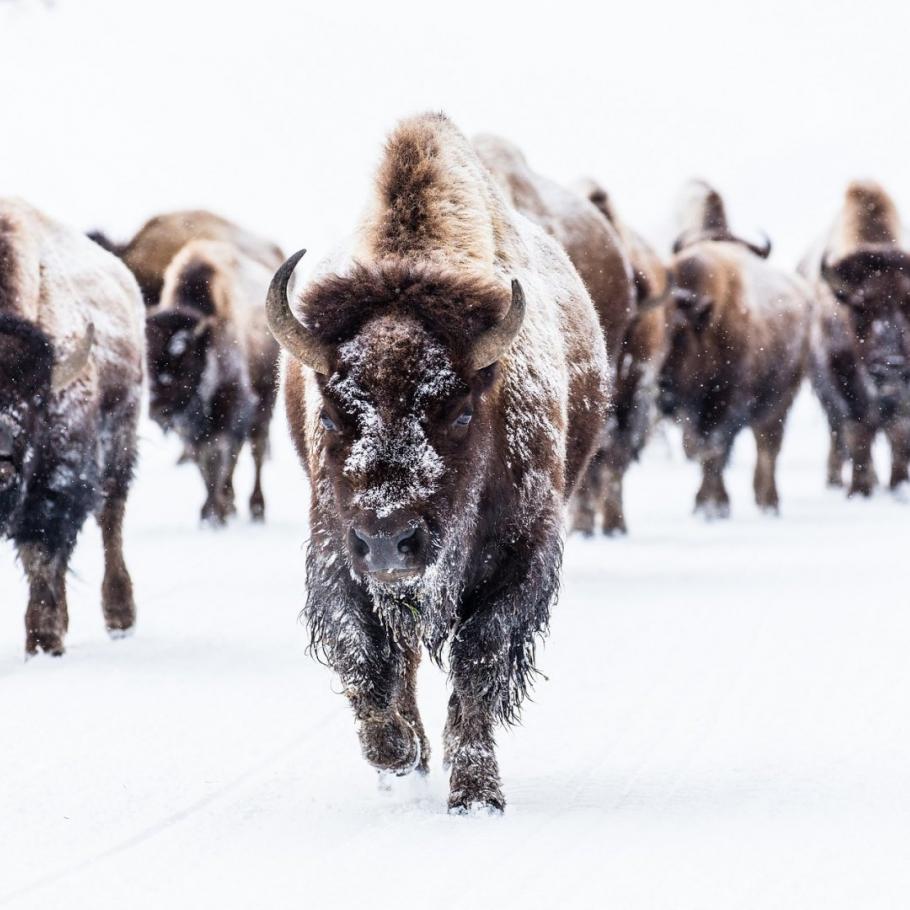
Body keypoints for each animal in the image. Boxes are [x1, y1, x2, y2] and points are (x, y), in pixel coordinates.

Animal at [0, 198, 144, 656]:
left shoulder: (55, 483)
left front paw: (43, 641)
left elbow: (42, 555)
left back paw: (120, 618)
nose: (3, 460)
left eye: (36, 400)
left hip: (120, 443)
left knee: (111, 517)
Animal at [147, 239, 282, 524]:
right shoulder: (192, 426)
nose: (156, 409)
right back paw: (231, 503)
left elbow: (215, 457)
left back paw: (256, 508)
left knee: (256, 449)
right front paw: (213, 511)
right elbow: (203, 461)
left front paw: (213, 514)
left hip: (264, 403)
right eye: (146, 359)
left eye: (184, 360)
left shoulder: (229, 409)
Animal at [268, 110, 612, 816]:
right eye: (332, 413)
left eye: (456, 411)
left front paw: (476, 795)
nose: (389, 541)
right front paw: (397, 756)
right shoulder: (337, 552)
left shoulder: (520, 558)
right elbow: (364, 654)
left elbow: (479, 663)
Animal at [656, 181, 812, 516]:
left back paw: (768, 501)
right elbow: (703, 449)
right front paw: (706, 504)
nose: (659, 386)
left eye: (678, 333)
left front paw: (712, 506)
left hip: (781, 400)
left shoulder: (726, 405)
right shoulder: (694, 415)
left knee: (768, 445)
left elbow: (714, 451)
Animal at [800, 181, 908, 496]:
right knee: (840, 435)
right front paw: (860, 490)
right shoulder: (844, 383)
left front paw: (899, 485)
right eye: (860, 307)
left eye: (909, 304)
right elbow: (858, 433)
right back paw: (838, 481)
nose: (890, 365)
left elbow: (900, 434)